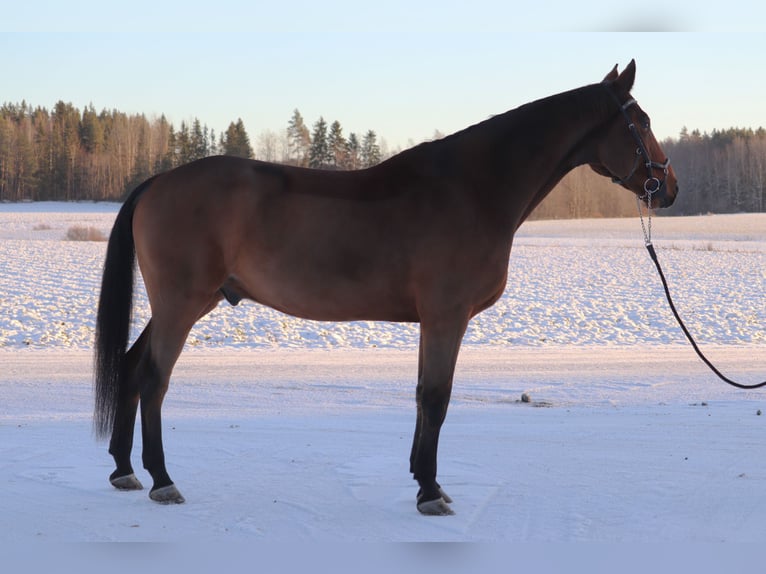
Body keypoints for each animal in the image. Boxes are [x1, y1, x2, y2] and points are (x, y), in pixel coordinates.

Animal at [94, 60, 680, 520]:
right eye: (642, 122)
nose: (668, 188)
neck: (474, 189)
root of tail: (157, 183)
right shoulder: (447, 316)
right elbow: (437, 397)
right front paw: (431, 492)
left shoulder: (433, 321)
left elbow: (423, 396)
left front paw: (422, 479)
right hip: (182, 304)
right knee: (154, 378)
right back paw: (163, 480)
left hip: (187, 303)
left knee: (131, 364)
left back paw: (124, 471)